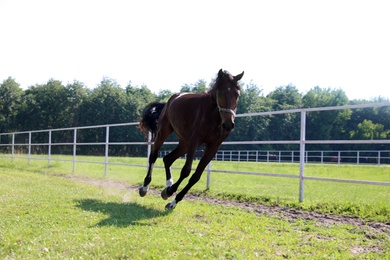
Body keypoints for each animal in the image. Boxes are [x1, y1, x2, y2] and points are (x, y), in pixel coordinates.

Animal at [139, 69, 244, 209]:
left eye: (237, 94)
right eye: (220, 93)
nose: (228, 125)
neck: (214, 117)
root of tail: (169, 101)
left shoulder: (213, 147)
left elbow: (196, 176)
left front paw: (172, 200)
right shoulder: (195, 141)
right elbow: (186, 171)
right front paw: (170, 192)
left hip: (184, 143)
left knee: (168, 159)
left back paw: (168, 184)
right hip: (164, 132)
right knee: (153, 157)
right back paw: (145, 187)